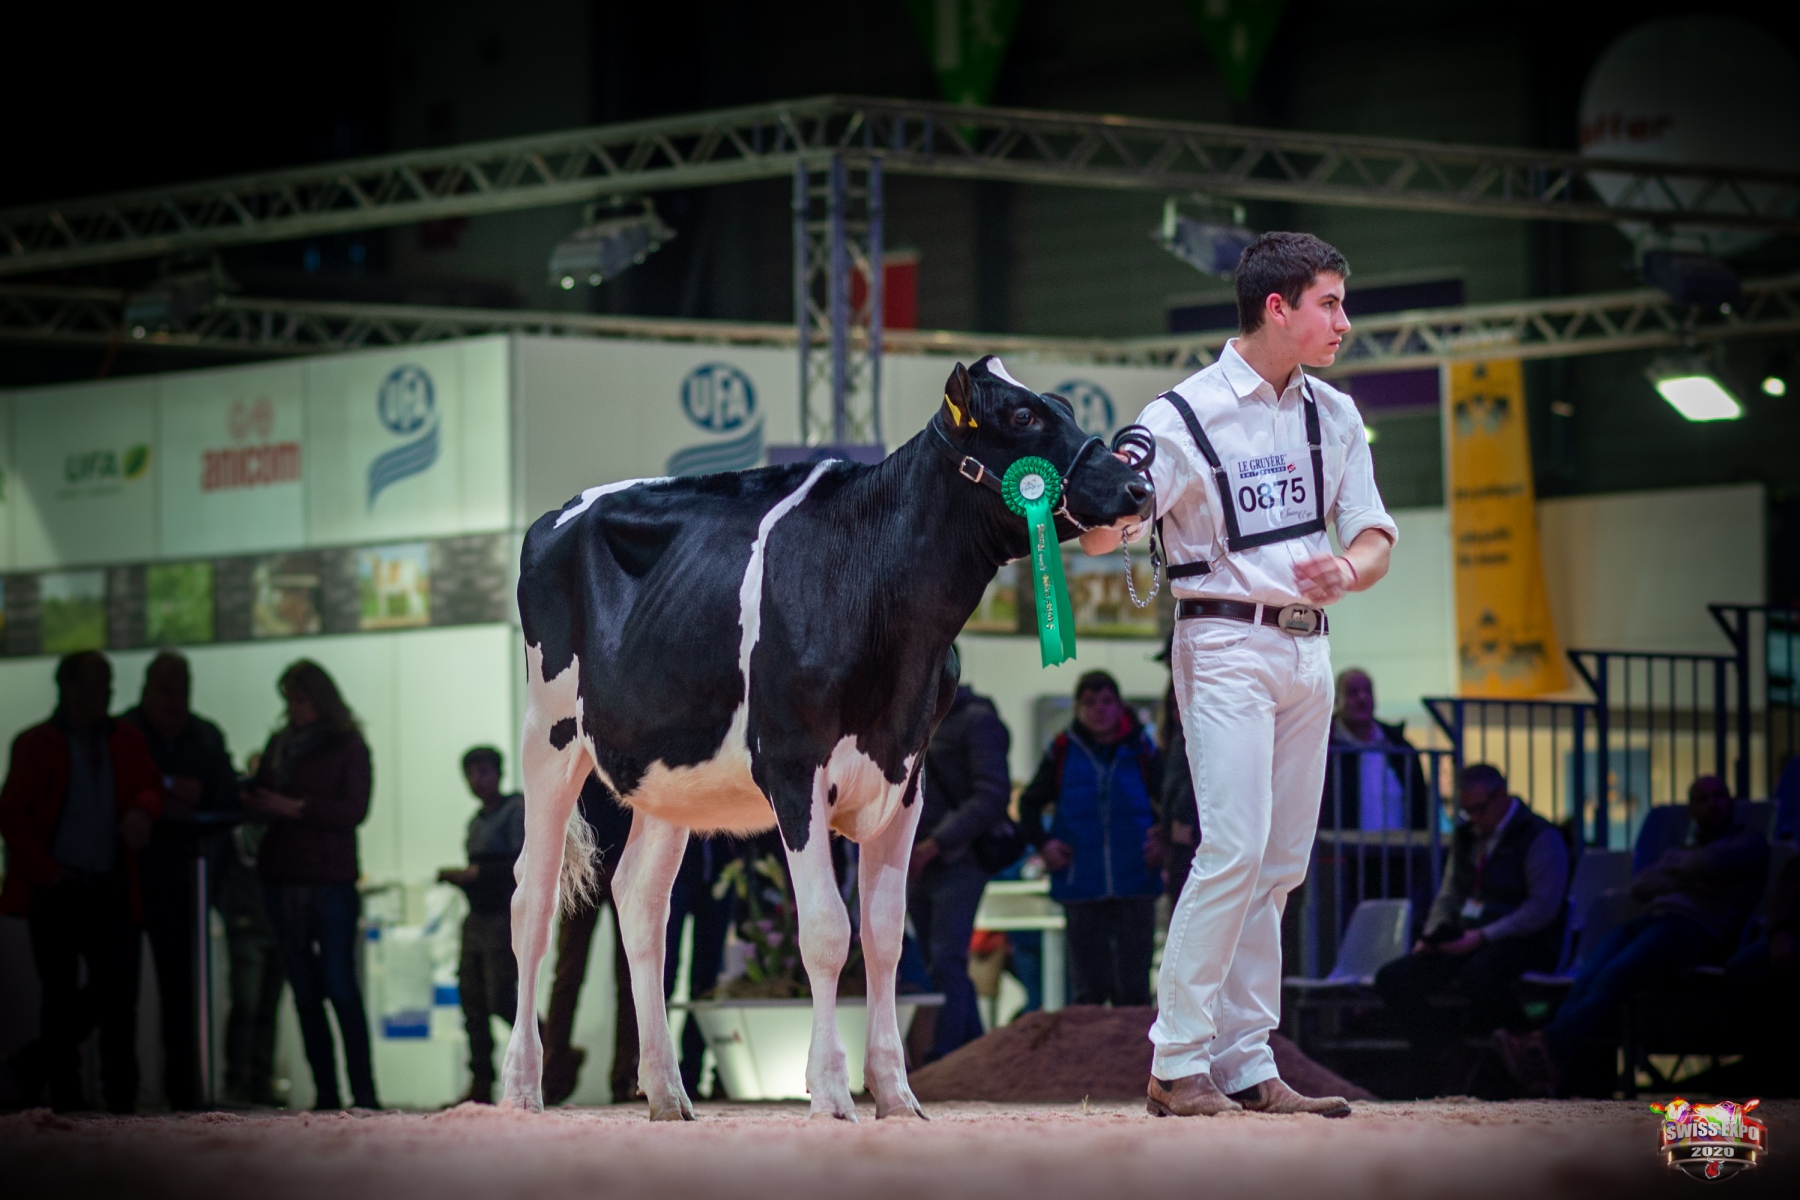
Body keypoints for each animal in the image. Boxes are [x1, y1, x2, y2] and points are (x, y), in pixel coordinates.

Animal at [500, 355, 1153, 1121]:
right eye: (1023, 417)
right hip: (547, 735)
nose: (1139, 483)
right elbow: (825, 932)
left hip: (671, 772)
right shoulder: (791, 766)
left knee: (640, 902)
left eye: (1063, 406)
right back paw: (522, 1086)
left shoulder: (908, 774)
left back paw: (666, 1091)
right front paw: (833, 1090)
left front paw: (896, 1093)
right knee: (531, 901)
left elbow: (885, 935)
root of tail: (556, 514)